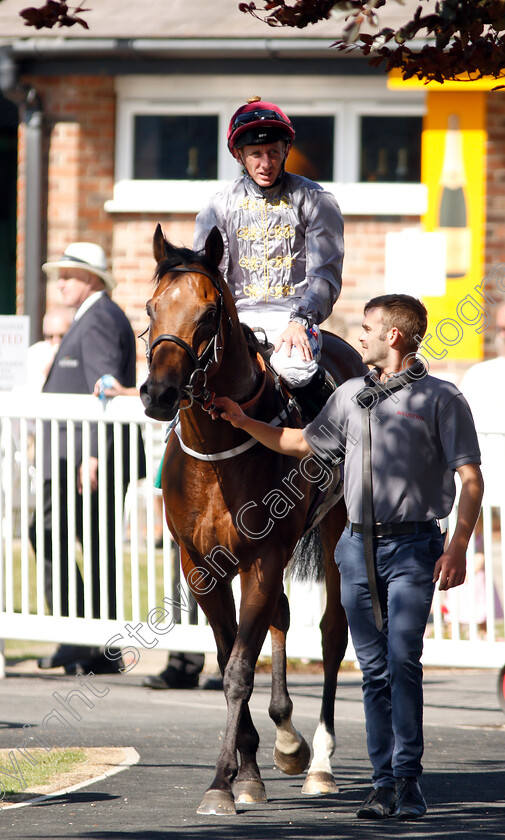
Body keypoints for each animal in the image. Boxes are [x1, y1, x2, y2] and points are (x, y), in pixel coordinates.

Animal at [140, 223, 364, 812]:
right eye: (151, 307)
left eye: (208, 313)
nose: (158, 393)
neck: (216, 449)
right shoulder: (202, 566)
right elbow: (228, 655)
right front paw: (248, 771)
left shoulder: (261, 556)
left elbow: (240, 668)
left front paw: (222, 781)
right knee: (280, 617)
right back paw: (286, 739)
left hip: (334, 531)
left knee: (332, 633)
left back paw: (321, 764)